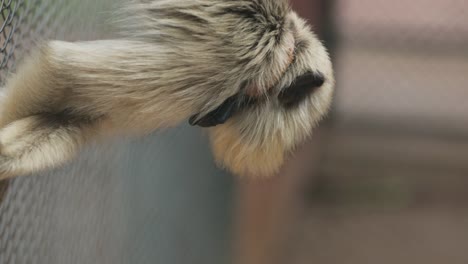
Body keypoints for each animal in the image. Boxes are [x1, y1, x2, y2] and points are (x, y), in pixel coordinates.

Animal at [0, 0, 332, 179]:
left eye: (229, 110)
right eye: (238, 105)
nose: (209, 119)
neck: (286, 47)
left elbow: (78, 119)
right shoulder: (232, 60)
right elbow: (59, 66)